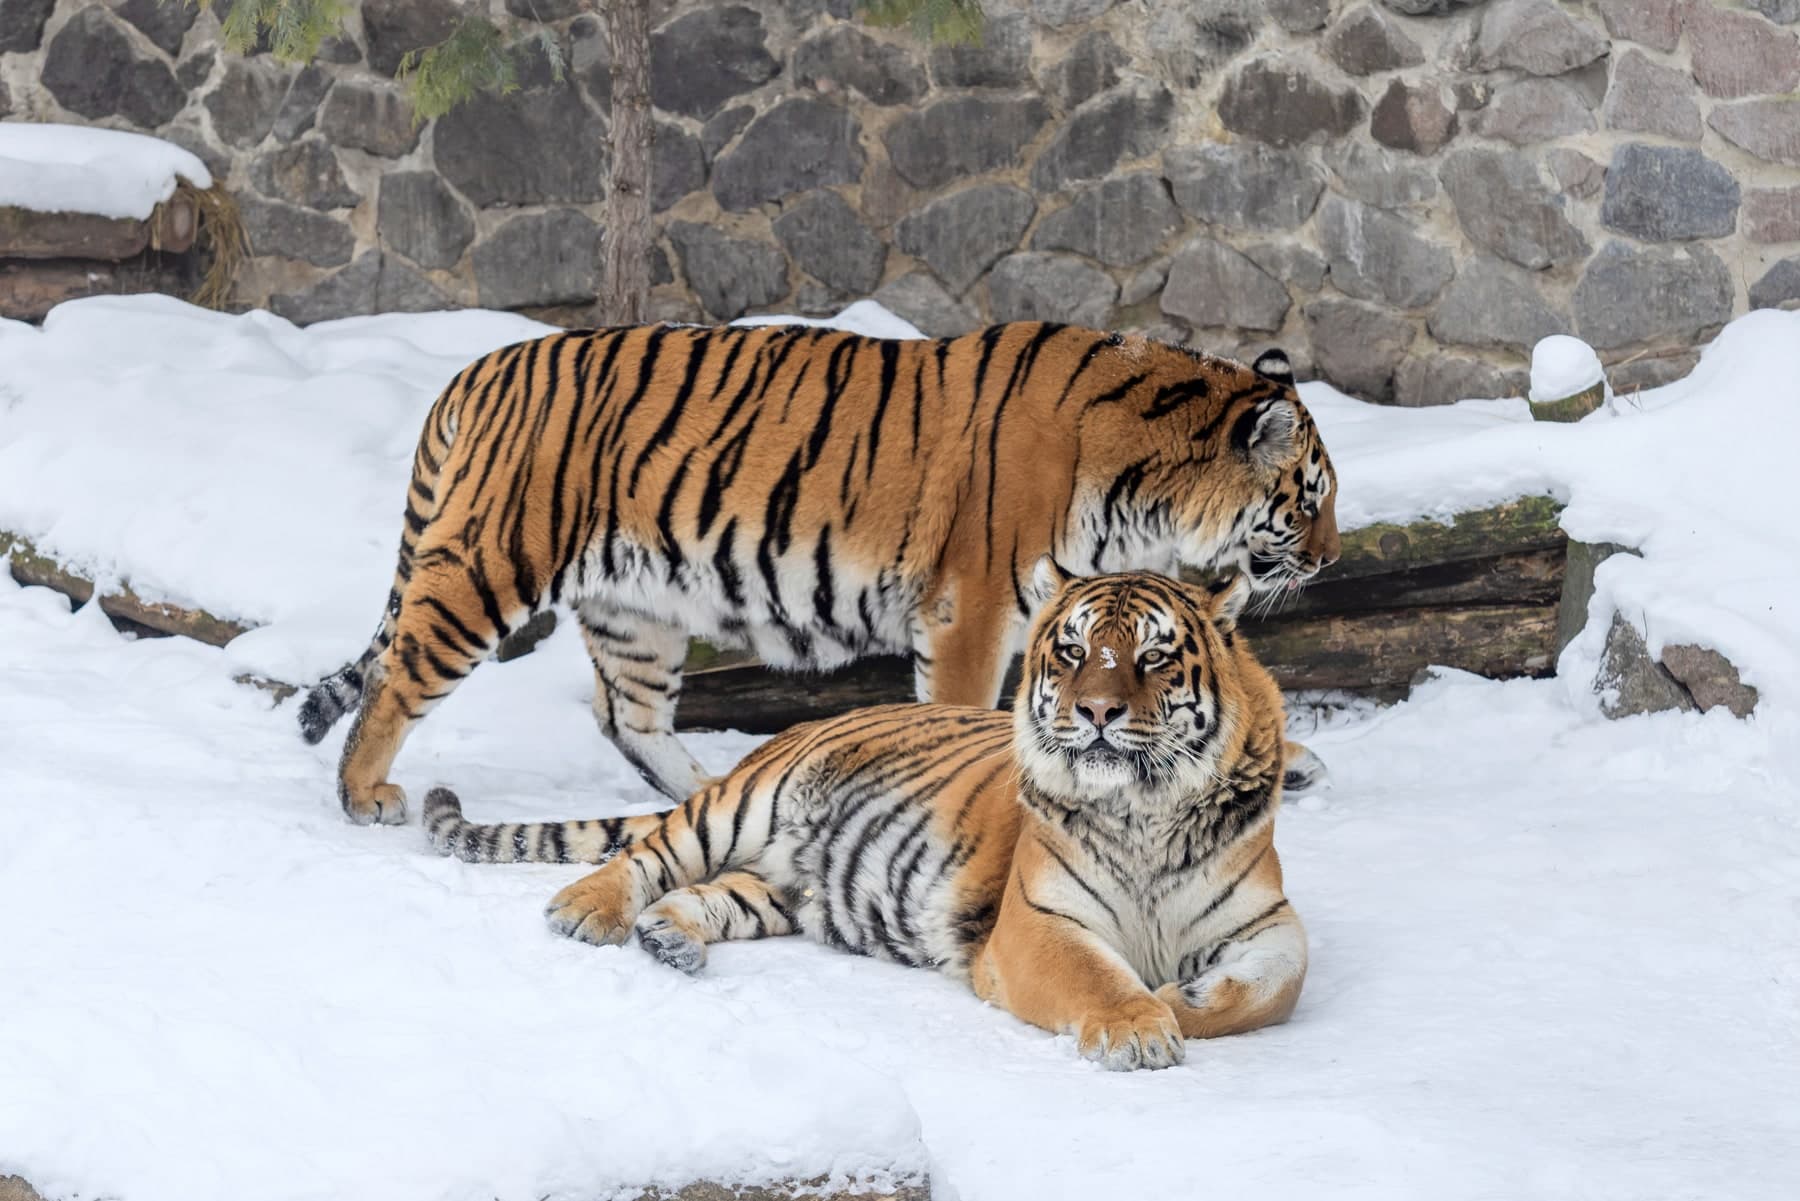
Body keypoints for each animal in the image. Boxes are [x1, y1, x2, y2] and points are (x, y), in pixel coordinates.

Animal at [298, 320, 1340, 827]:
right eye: (1309, 497)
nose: (1331, 556)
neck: (1144, 493)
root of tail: (472, 372)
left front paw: (1289, 763)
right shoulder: (970, 609)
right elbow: (973, 711)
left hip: (636, 605)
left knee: (627, 716)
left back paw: (713, 785)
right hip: (491, 562)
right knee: (398, 675)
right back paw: (363, 796)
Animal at [423, 564, 1307, 1070]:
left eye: (1153, 656)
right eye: (1072, 651)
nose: (1093, 710)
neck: (1146, 809)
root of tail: (808, 722)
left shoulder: (1268, 920)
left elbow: (1277, 986)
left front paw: (1186, 999)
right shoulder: (1037, 924)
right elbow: (1095, 973)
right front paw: (1139, 1026)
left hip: (779, 885)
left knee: (702, 894)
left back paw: (671, 939)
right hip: (738, 807)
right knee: (647, 856)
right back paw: (587, 911)